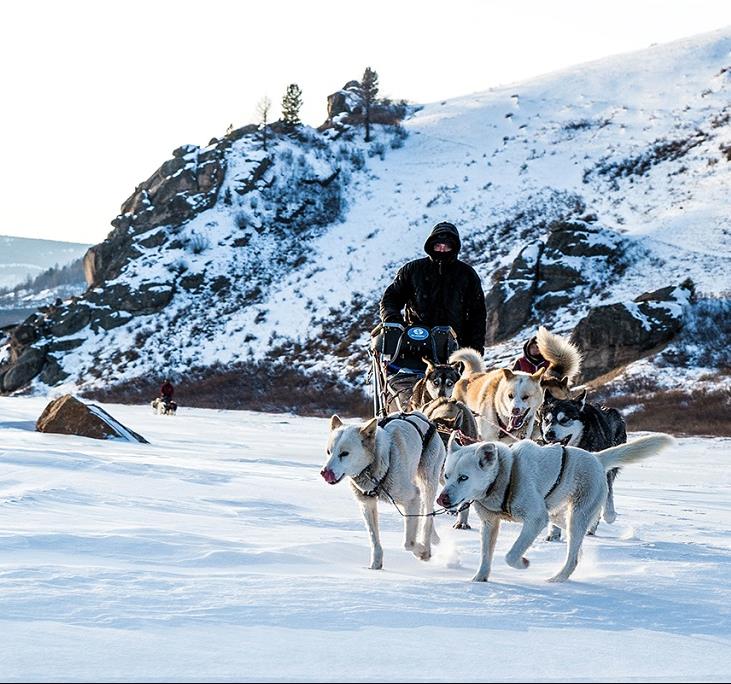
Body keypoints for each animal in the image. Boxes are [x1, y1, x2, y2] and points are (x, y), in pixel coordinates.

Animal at [322, 414, 446, 568]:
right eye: (329, 452)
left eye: (344, 453)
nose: (324, 472)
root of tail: (422, 417)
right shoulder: (367, 504)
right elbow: (374, 539)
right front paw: (375, 566)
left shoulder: (412, 498)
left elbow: (408, 543)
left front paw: (422, 551)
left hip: (427, 482)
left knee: (427, 517)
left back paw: (427, 543)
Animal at [434, 432, 676, 584]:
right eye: (447, 475)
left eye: (464, 477)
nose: (442, 499)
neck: (505, 474)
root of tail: (596, 458)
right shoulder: (490, 524)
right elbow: (486, 555)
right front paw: (479, 580)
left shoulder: (535, 520)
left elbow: (511, 555)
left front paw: (523, 562)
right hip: (559, 516)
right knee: (575, 546)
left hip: (575, 516)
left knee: (573, 555)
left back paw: (558, 578)